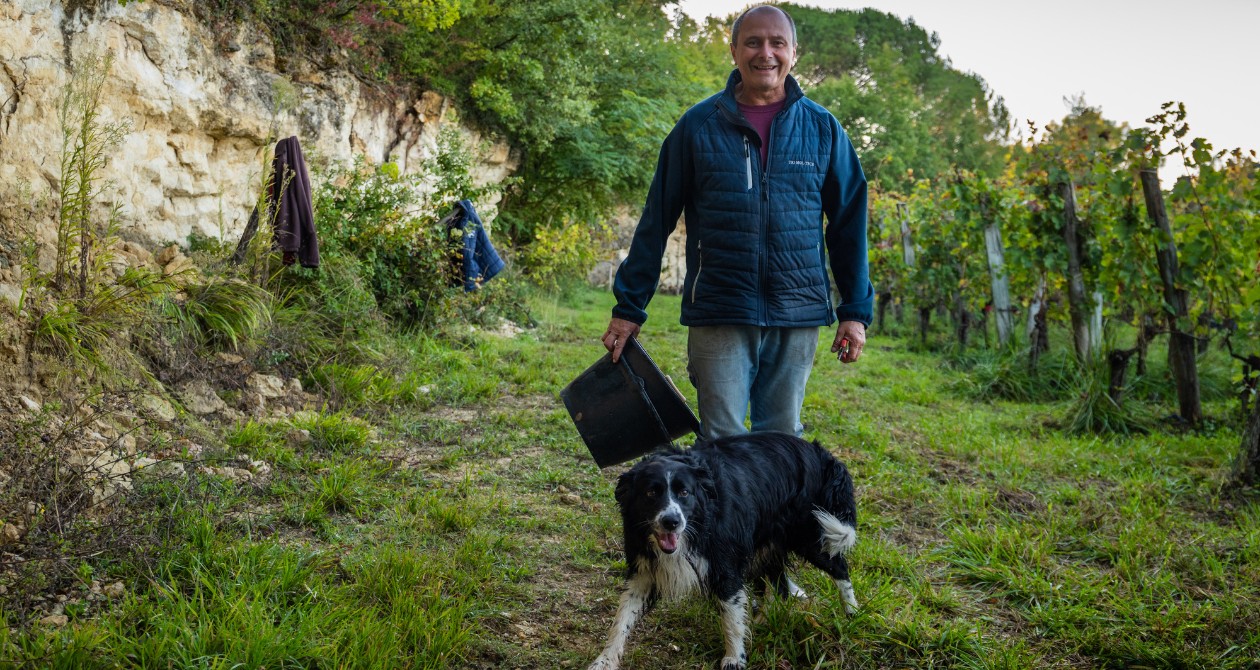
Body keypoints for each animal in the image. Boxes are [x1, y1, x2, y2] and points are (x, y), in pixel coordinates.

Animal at [589, 430, 856, 664]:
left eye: (684, 492)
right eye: (650, 493)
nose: (671, 522)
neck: (699, 523)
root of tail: (821, 453)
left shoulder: (724, 564)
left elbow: (730, 617)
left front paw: (734, 658)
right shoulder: (644, 571)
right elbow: (622, 617)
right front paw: (604, 660)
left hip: (810, 533)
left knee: (840, 568)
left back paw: (852, 613)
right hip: (769, 542)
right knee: (778, 583)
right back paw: (762, 620)